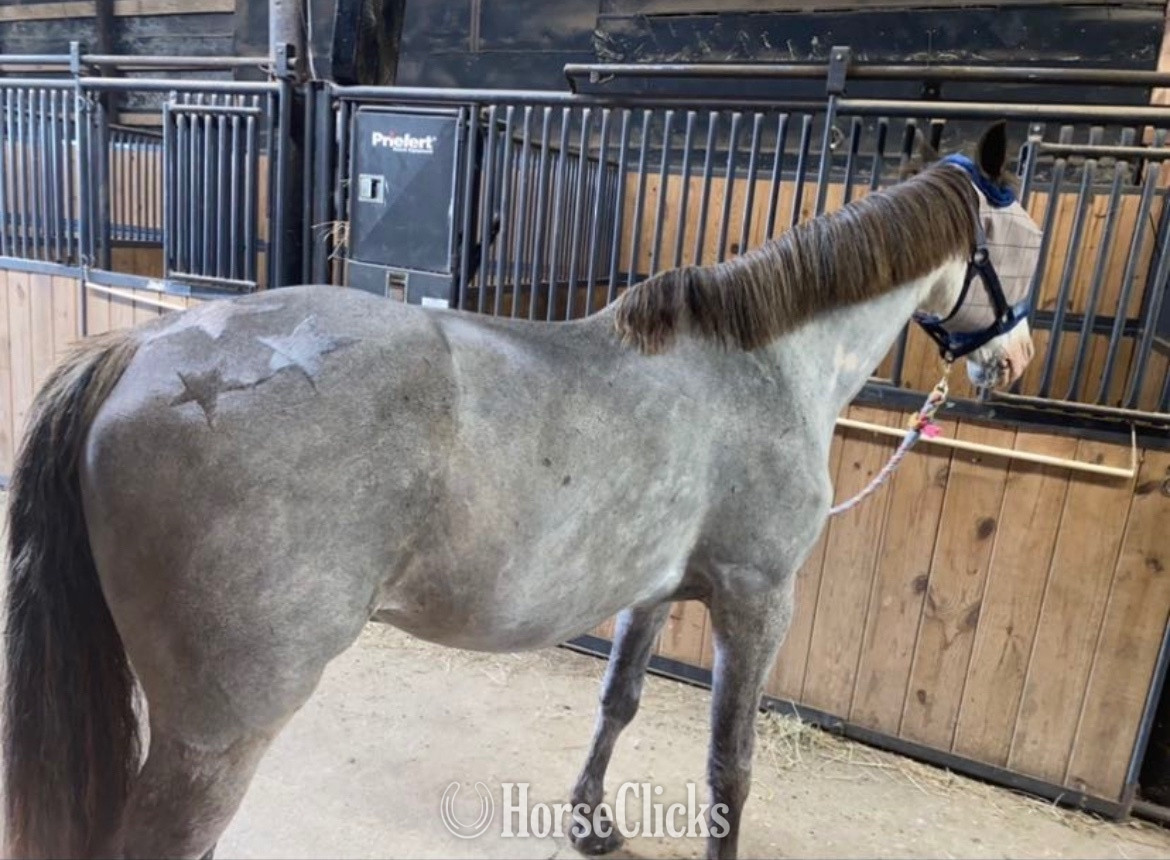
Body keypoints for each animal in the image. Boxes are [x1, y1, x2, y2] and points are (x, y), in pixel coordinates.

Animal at [3, 119, 1043, 859]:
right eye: (1029, 240)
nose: (1017, 359)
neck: (762, 366)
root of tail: (143, 351)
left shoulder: (653, 593)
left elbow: (618, 704)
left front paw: (592, 825)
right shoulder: (757, 602)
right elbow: (730, 766)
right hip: (219, 736)